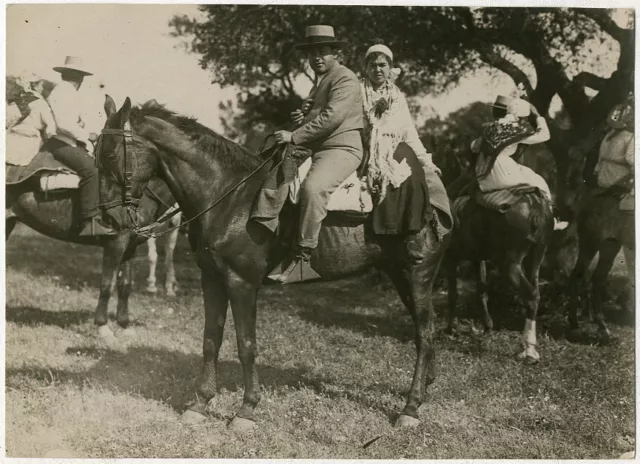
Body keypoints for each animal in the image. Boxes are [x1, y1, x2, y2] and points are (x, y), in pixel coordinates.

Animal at [6, 145, 179, 344]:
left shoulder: (130, 247)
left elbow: (125, 284)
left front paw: (124, 326)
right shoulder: (116, 243)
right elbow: (107, 284)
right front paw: (104, 329)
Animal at [97, 95, 452, 432]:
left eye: (111, 156)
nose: (107, 220)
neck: (229, 195)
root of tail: (432, 190)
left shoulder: (241, 283)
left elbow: (246, 345)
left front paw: (246, 410)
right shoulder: (211, 279)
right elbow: (211, 339)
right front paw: (200, 404)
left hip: (417, 273)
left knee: (424, 333)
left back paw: (410, 408)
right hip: (400, 275)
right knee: (428, 328)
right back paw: (426, 388)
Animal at [444, 147, 556, 364]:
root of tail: (535, 204)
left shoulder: (451, 257)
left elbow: (453, 294)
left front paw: (449, 329)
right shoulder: (477, 257)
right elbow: (481, 289)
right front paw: (487, 327)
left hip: (510, 263)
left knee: (530, 295)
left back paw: (529, 351)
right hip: (537, 255)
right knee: (536, 293)